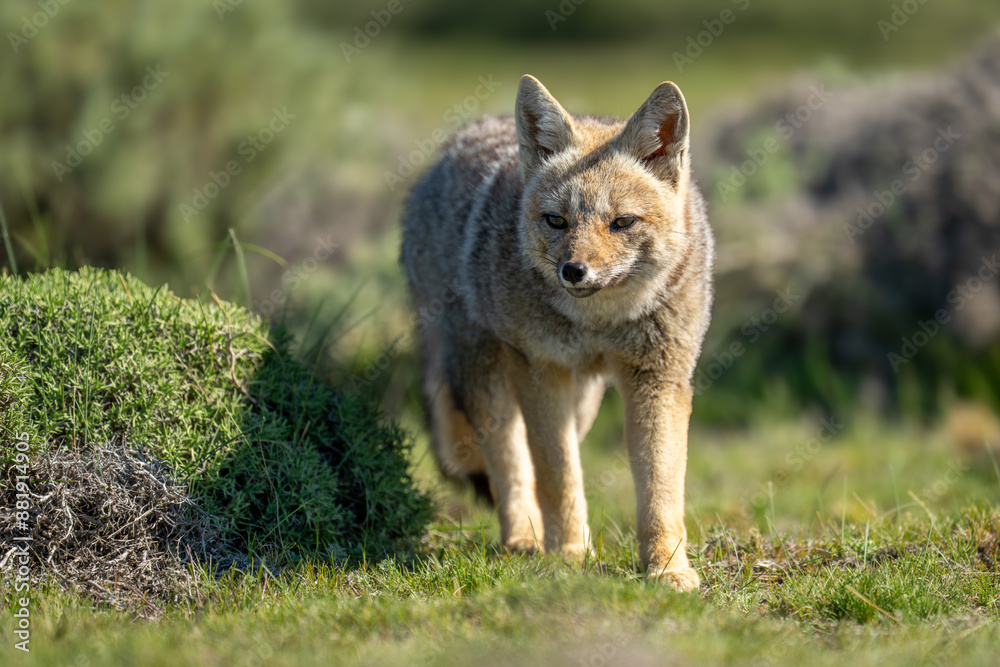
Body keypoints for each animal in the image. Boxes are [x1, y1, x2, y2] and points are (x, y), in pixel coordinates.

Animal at [400, 74, 714, 591]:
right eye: (556, 220)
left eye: (622, 222)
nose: (574, 271)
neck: (599, 323)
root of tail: (460, 139)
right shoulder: (541, 370)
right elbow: (557, 475)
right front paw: (568, 556)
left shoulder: (659, 378)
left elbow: (661, 489)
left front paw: (667, 568)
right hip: (489, 379)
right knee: (512, 466)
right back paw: (524, 539)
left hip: (584, 402)